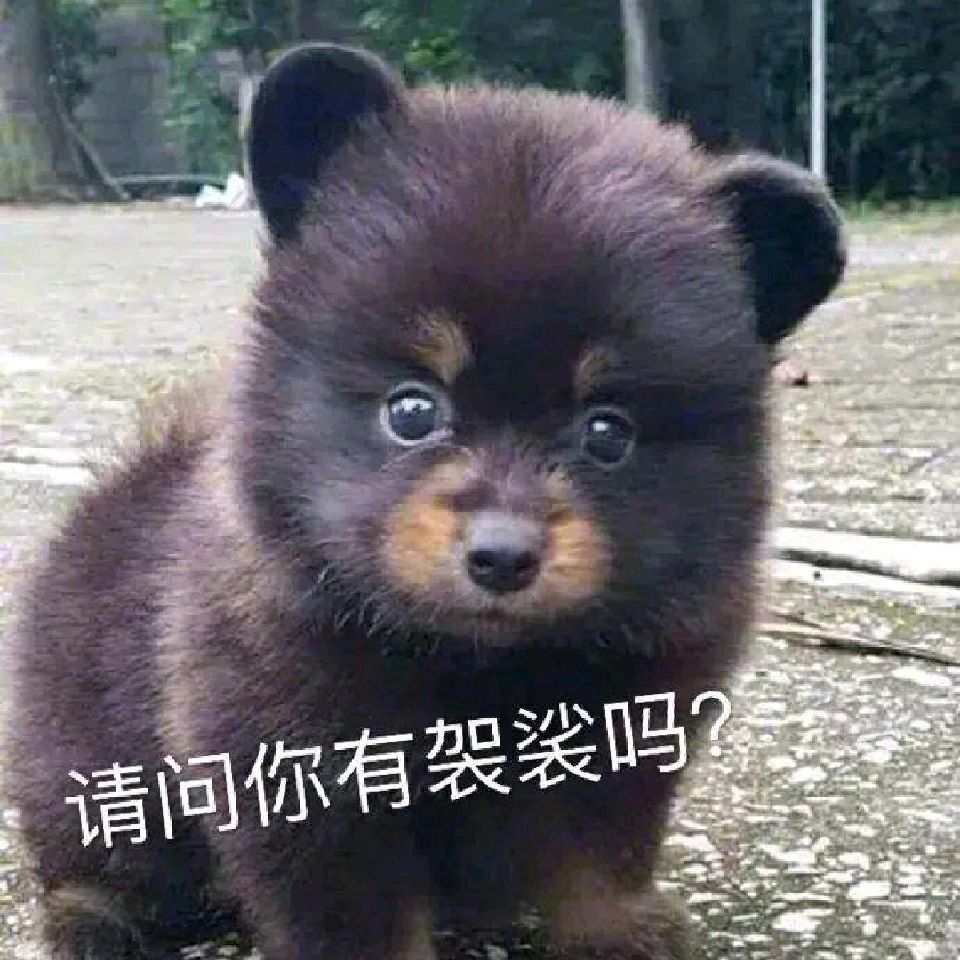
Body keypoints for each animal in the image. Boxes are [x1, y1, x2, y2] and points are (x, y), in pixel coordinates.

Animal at [5, 42, 845, 960]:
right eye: (412, 410)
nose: (503, 556)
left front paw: (622, 933)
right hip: (80, 759)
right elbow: (352, 905)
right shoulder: (299, 765)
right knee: (95, 857)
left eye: (607, 432)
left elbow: (597, 855)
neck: (477, 665)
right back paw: (96, 919)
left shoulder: (627, 733)